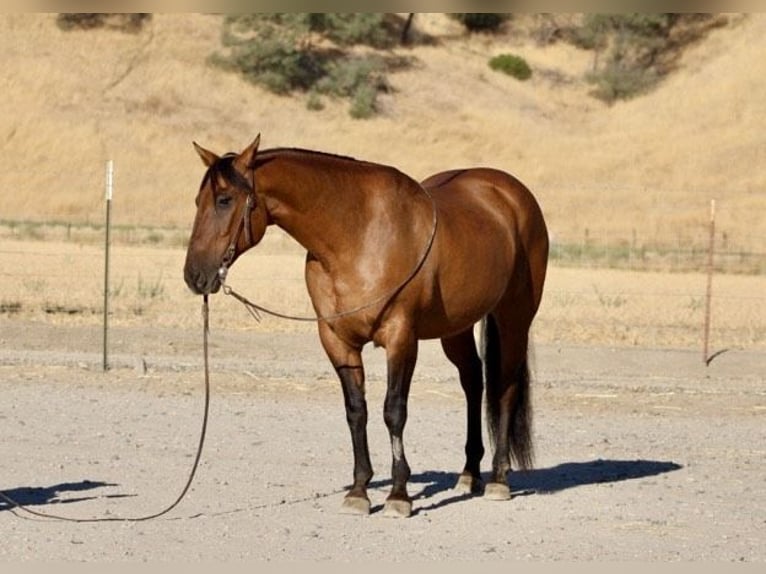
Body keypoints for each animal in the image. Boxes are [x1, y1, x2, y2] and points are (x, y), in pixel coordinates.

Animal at [183, 134, 549, 518]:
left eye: (224, 200)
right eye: (198, 201)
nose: (194, 276)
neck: (357, 235)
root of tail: (510, 193)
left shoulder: (401, 338)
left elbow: (394, 411)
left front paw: (399, 495)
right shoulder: (337, 340)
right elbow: (356, 411)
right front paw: (359, 491)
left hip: (514, 317)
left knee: (505, 386)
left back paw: (498, 479)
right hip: (456, 329)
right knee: (473, 382)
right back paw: (468, 474)